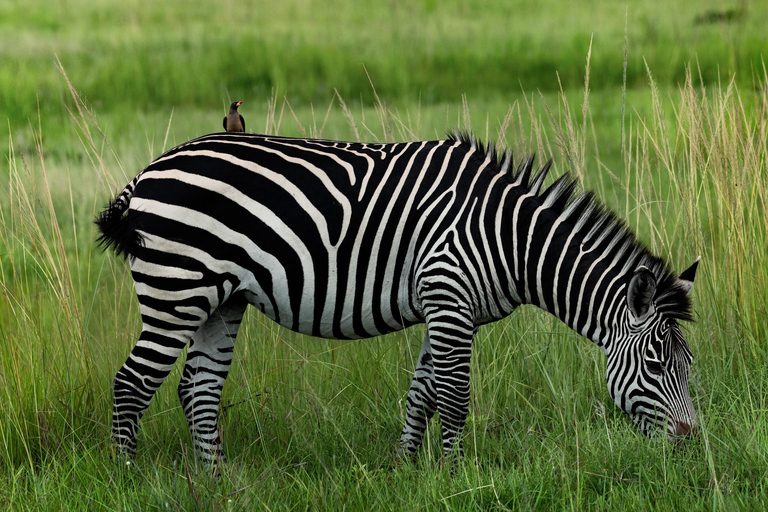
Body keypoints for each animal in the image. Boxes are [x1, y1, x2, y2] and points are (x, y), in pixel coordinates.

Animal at [94, 131, 696, 464]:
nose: (690, 442)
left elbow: (422, 394)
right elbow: (453, 398)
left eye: (687, 365)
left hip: (220, 301)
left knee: (198, 391)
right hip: (177, 289)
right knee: (132, 384)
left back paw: (218, 484)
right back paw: (129, 477)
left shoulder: (447, 307)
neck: (509, 238)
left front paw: (408, 469)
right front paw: (456, 474)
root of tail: (146, 174)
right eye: (654, 362)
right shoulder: (449, 295)